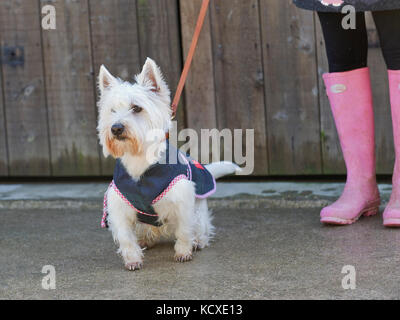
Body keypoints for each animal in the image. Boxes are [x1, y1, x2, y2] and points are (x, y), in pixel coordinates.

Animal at [97, 58, 241, 270]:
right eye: (112, 110)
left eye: (137, 108)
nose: (116, 128)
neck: (139, 160)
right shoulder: (119, 204)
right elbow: (125, 236)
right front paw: (132, 259)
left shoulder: (182, 200)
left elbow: (184, 229)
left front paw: (183, 252)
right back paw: (146, 240)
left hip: (200, 212)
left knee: (201, 227)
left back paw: (198, 241)